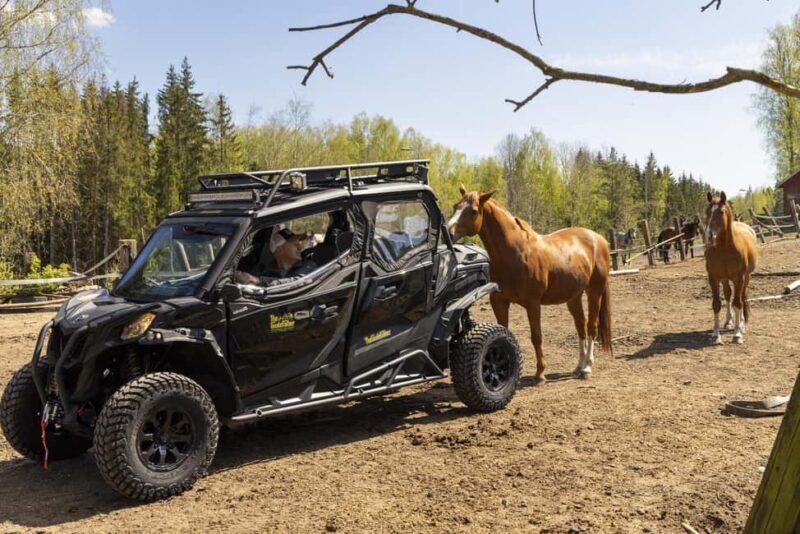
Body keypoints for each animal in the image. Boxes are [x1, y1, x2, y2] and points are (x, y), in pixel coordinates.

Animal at [447, 186, 612, 381]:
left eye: (473, 211)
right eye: (455, 206)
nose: (448, 232)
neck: (515, 253)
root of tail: (599, 239)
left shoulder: (533, 303)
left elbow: (536, 336)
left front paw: (540, 372)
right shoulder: (499, 302)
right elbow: (504, 330)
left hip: (594, 291)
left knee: (591, 327)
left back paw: (587, 368)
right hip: (574, 296)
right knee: (581, 326)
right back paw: (579, 366)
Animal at [704, 191, 759, 344]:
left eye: (721, 212)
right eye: (707, 211)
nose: (709, 235)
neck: (724, 249)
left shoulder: (739, 277)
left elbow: (738, 303)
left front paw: (737, 334)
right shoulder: (714, 277)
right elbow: (717, 304)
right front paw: (716, 335)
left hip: (746, 277)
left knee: (741, 297)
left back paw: (741, 324)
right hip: (725, 279)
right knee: (728, 295)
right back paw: (729, 322)